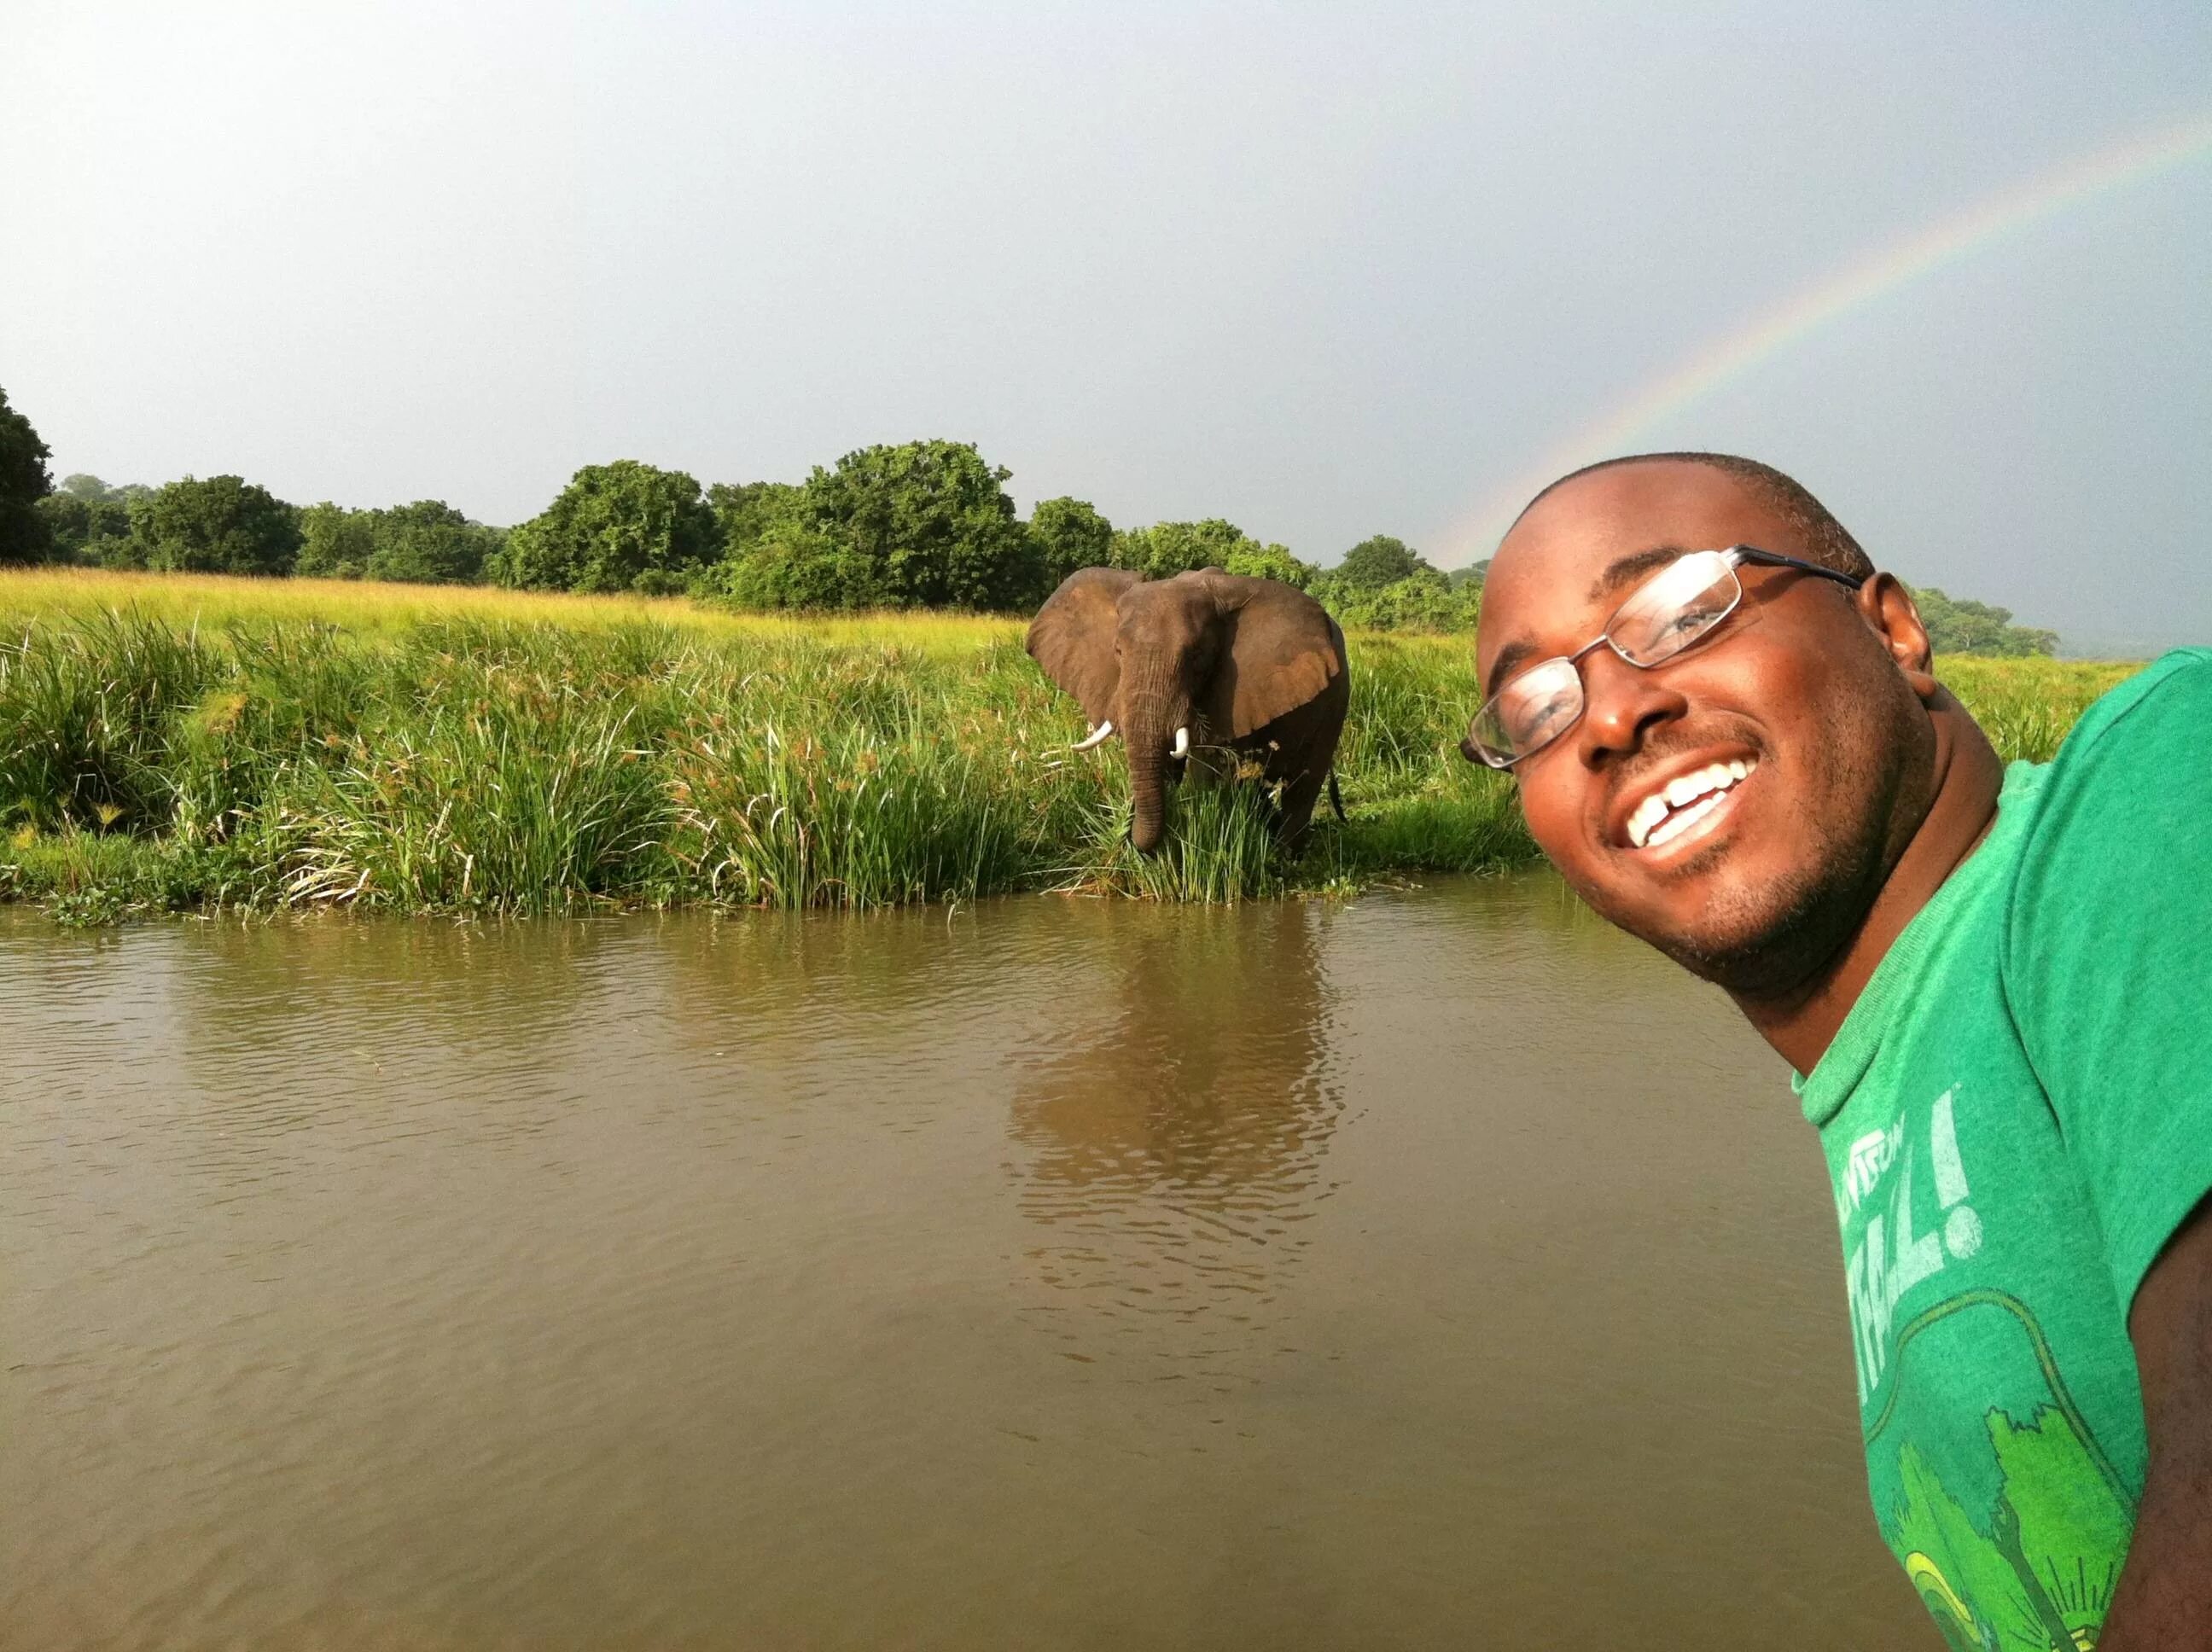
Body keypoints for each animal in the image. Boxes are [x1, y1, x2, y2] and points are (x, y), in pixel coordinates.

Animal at [1022, 566, 1344, 853]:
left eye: (1197, 657)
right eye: (1118, 651)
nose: (1124, 833)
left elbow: (1207, 766)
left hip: (1337, 703)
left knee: (1302, 786)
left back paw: (1284, 858)